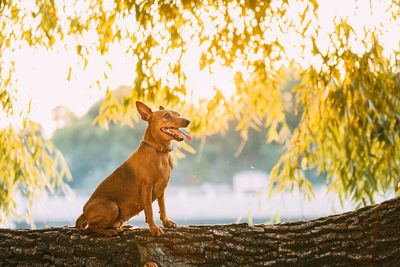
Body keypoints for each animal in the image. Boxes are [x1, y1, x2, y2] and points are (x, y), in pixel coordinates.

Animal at [77, 101, 194, 237]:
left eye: (178, 114)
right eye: (166, 115)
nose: (187, 121)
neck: (160, 152)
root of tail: (84, 213)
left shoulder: (162, 189)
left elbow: (163, 208)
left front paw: (166, 223)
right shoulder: (146, 188)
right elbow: (149, 211)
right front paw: (154, 228)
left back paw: (122, 226)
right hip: (112, 206)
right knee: (91, 227)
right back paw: (109, 231)